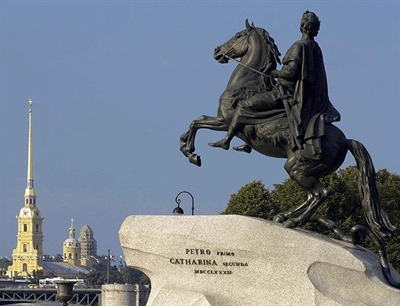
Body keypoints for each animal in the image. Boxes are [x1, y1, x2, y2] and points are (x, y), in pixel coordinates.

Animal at [180, 20, 396, 241]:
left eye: (238, 35)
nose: (217, 51)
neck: (248, 84)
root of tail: (345, 141)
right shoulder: (221, 120)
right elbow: (197, 121)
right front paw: (187, 147)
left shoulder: (226, 120)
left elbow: (198, 122)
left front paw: (196, 153)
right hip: (301, 169)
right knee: (312, 195)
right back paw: (284, 217)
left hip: (298, 168)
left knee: (321, 194)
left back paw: (292, 221)